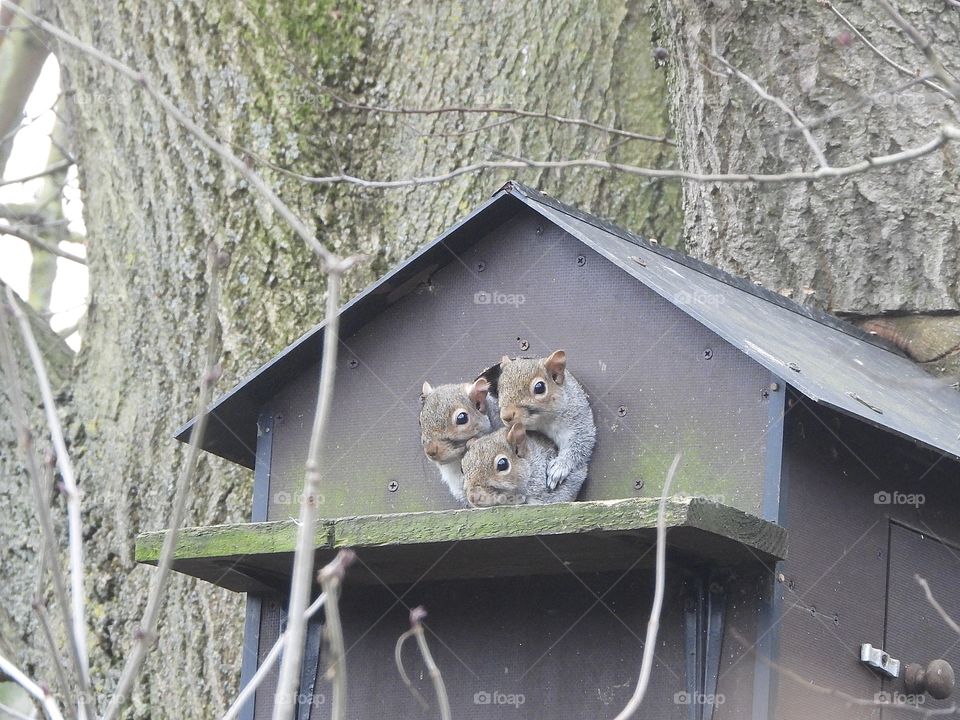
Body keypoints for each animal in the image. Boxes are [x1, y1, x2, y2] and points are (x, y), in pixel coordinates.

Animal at [497, 350, 596, 490]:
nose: (506, 415)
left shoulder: (577, 419)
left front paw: (559, 468)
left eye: (539, 387)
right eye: (499, 388)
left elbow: (580, 443)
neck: (544, 422)